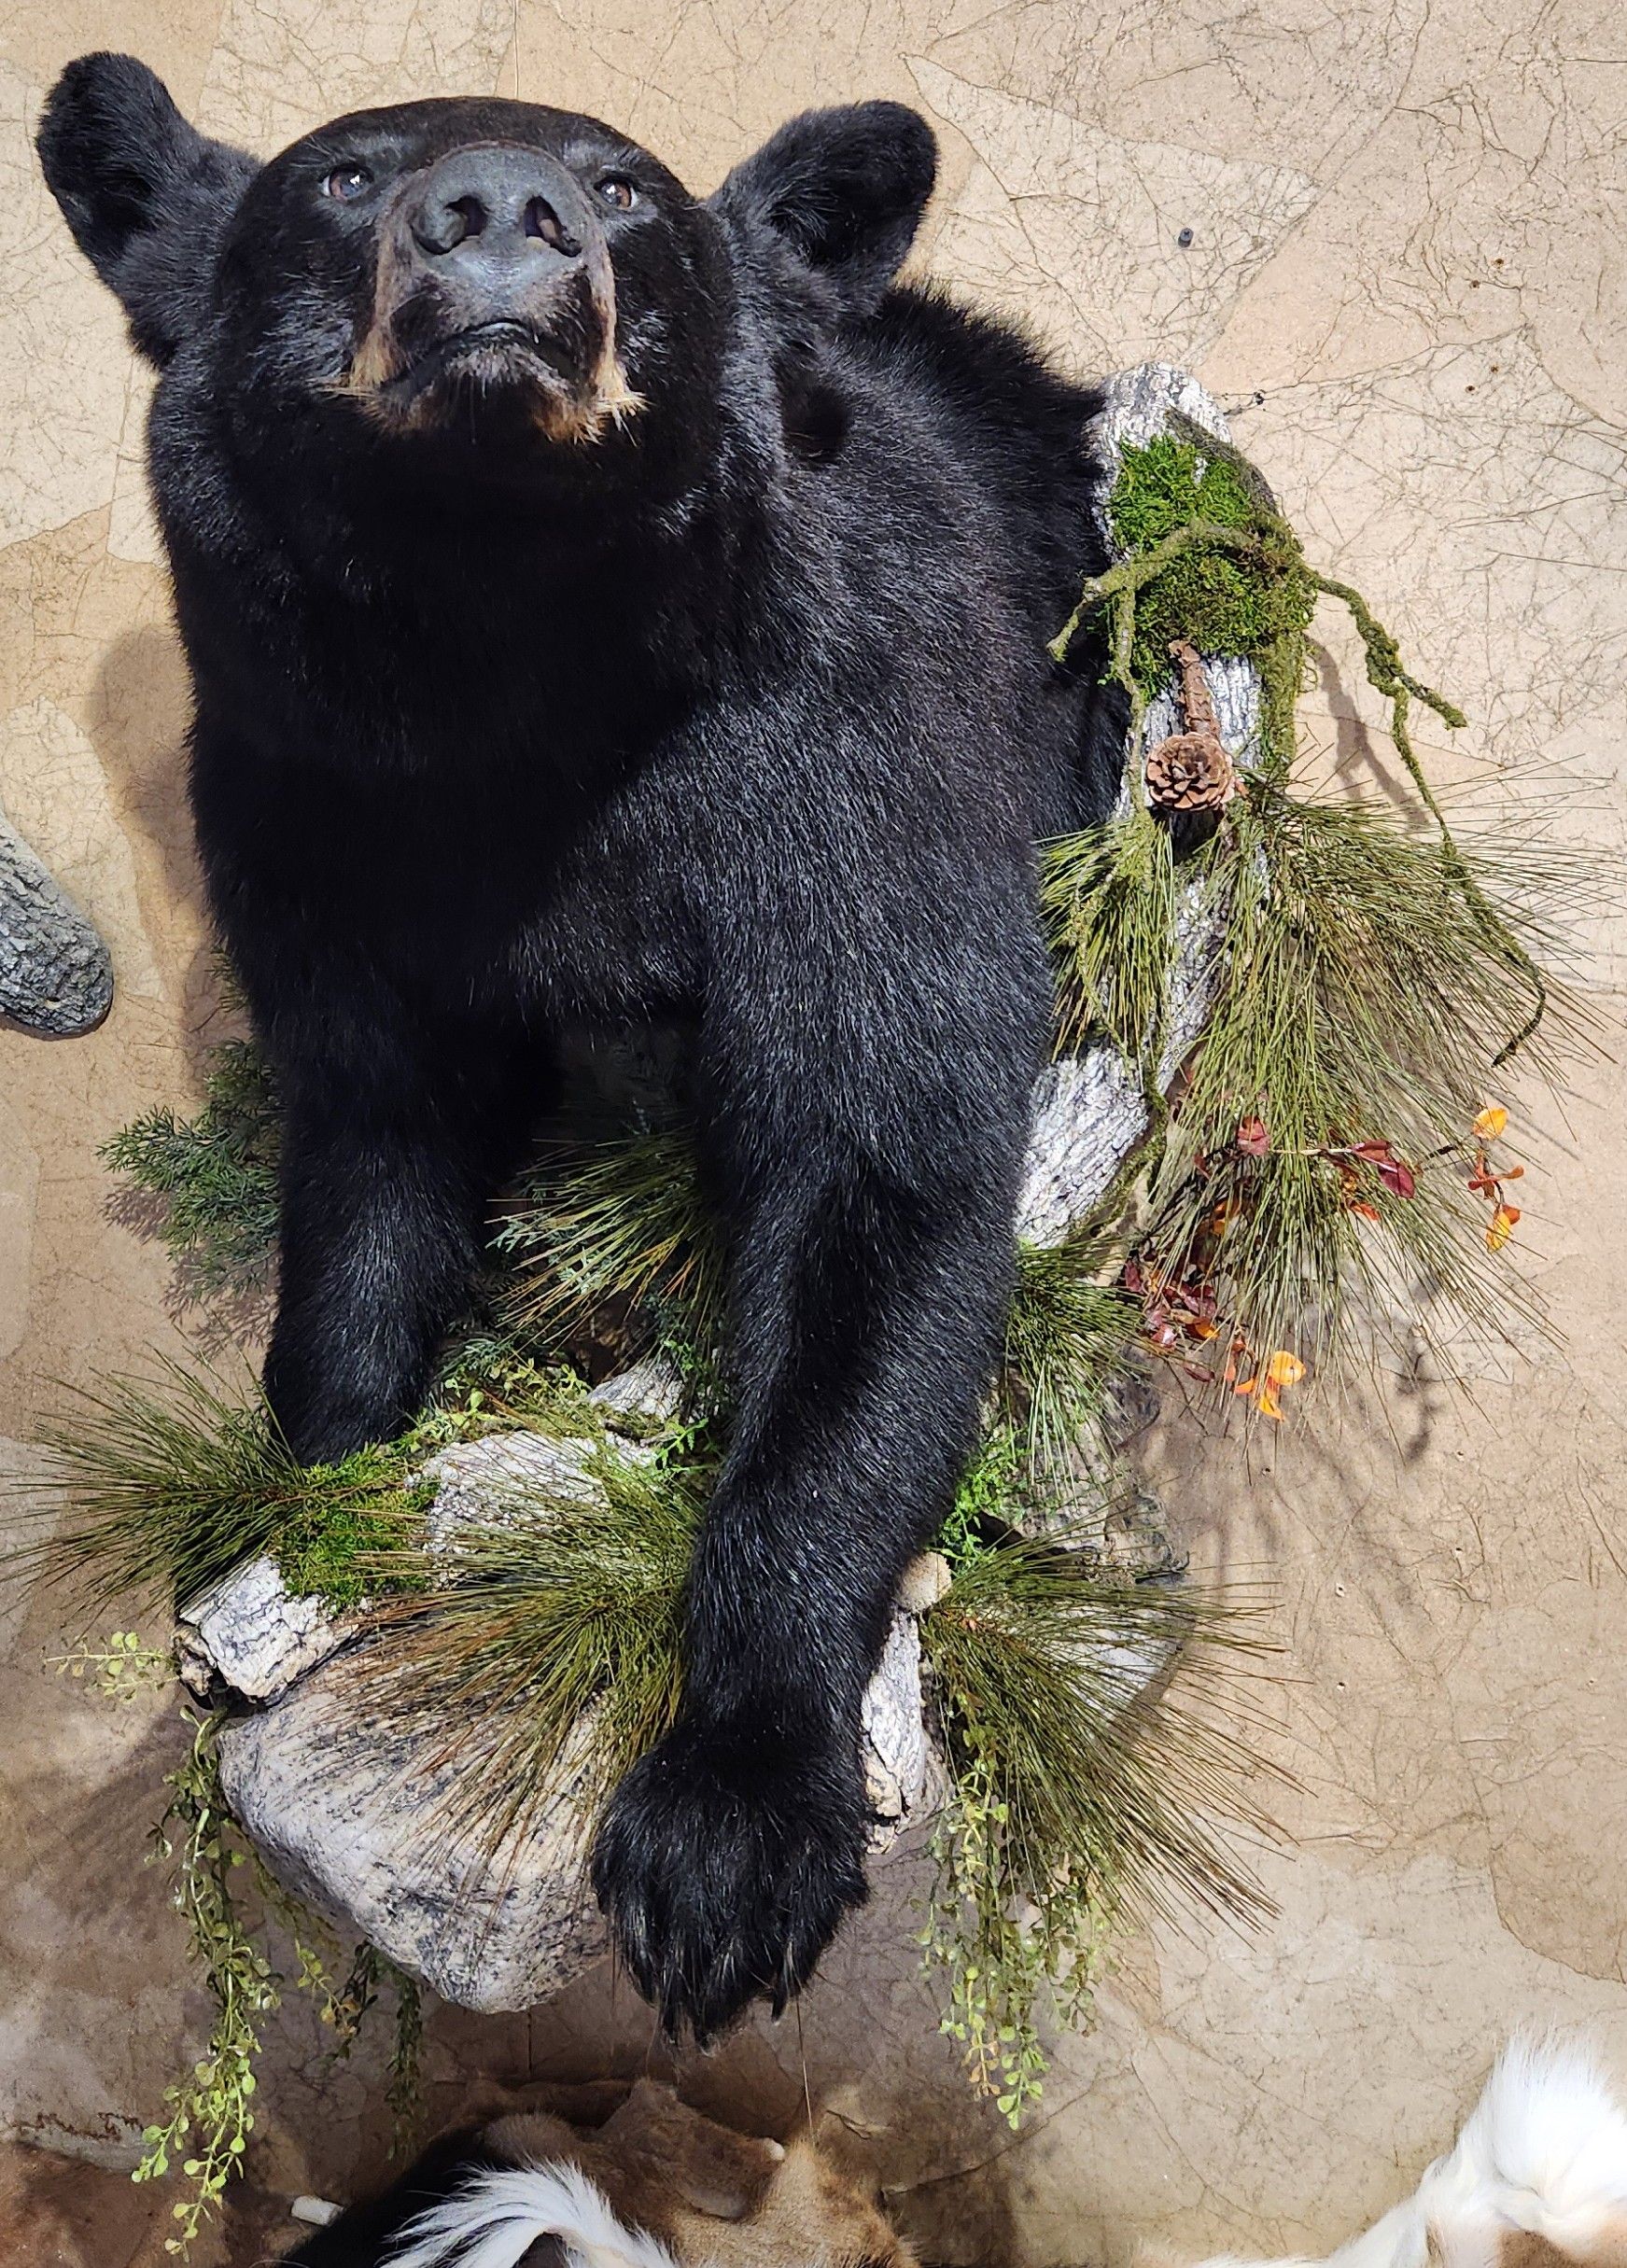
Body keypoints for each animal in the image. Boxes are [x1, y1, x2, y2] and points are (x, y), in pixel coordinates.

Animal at [38, 53, 1123, 2041]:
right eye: (346, 174)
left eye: (626, 189)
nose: (495, 216)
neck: (508, 662)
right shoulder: (309, 810)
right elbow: (373, 1138)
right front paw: (309, 1493)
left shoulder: (844, 758)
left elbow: (881, 1157)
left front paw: (730, 1826)